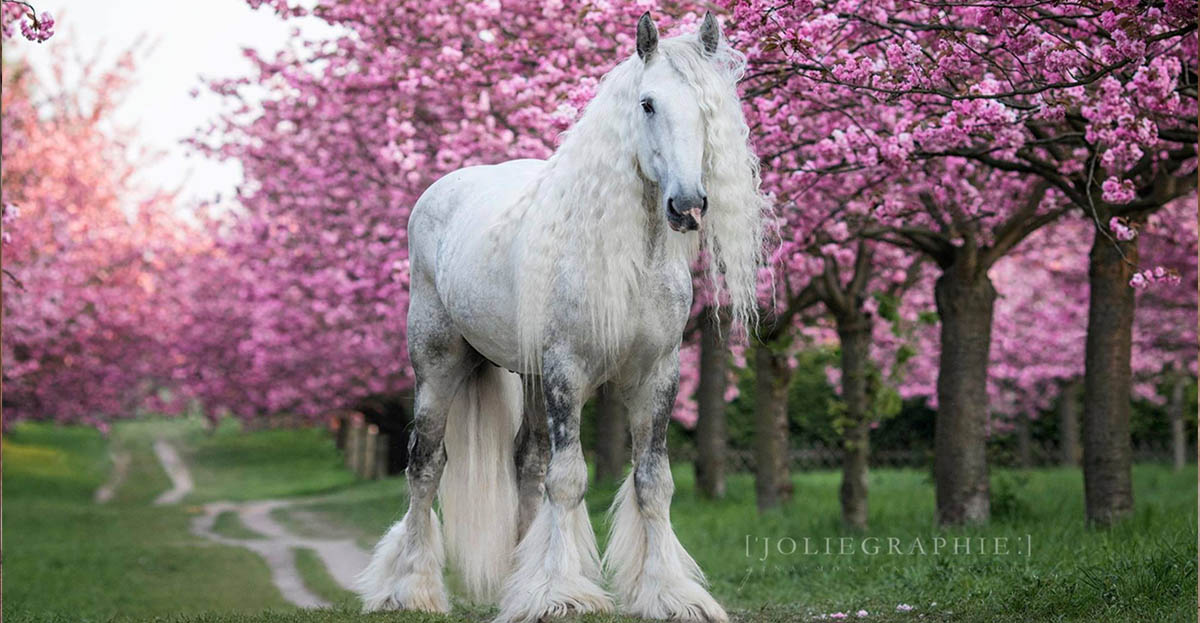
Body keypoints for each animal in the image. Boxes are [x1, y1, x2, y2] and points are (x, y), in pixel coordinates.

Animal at [355, 13, 768, 623]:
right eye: (647, 104)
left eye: (709, 108)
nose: (688, 206)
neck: (632, 259)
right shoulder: (566, 371)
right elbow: (569, 479)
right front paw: (561, 594)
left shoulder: (658, 374)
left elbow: (653, 482)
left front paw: (668, 594)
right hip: (438, 367)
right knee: (425, 466)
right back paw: (410, 589)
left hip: (526, 375)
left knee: (526, 464)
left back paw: (513, 580)